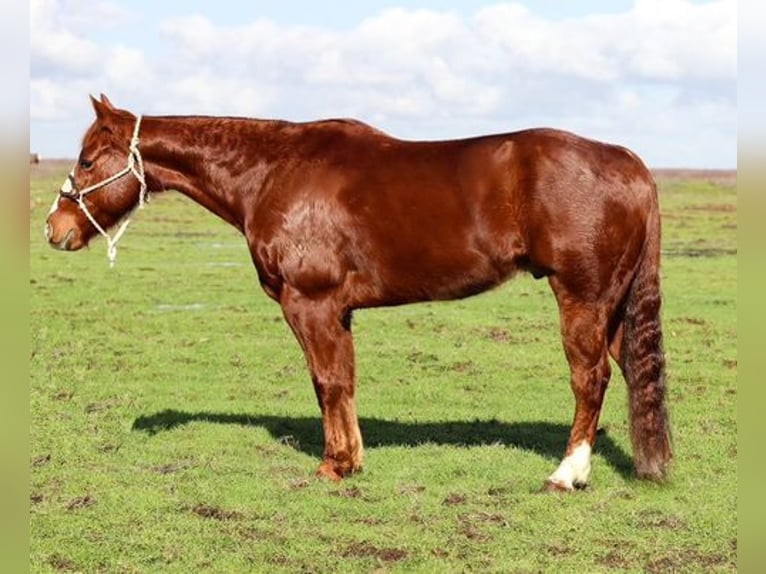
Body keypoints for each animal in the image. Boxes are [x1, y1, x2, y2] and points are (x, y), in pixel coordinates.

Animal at [46, 94, 672, 490]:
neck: (271, 171)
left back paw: (567, 475)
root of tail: (629, 163)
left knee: (590, 378)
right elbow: (342, 381)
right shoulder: (338, 312)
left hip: (582, 299)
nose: (56, 228)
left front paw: (334, 466)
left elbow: (326, 382)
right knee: (629, 370)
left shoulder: (310, 303)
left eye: (86, 158)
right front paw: (351, 458)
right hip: (614, 306)